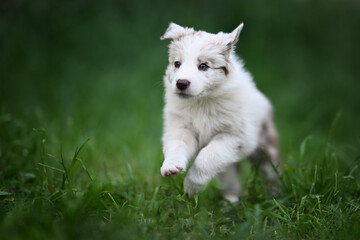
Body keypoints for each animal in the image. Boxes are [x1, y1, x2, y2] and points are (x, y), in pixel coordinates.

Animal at [160, 23, 282, 202]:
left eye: (203, 66)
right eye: (177, 64)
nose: (181, 83)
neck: (202, 103)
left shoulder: (233, 136)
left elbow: (206, 156)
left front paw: (191, 186)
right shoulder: (181, 128)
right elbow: (177, 145)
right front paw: (171, 166)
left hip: (265, 149)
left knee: (272, 173)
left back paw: (276, 196)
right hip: (228, 167)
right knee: (230, 178)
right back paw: (230, 201)